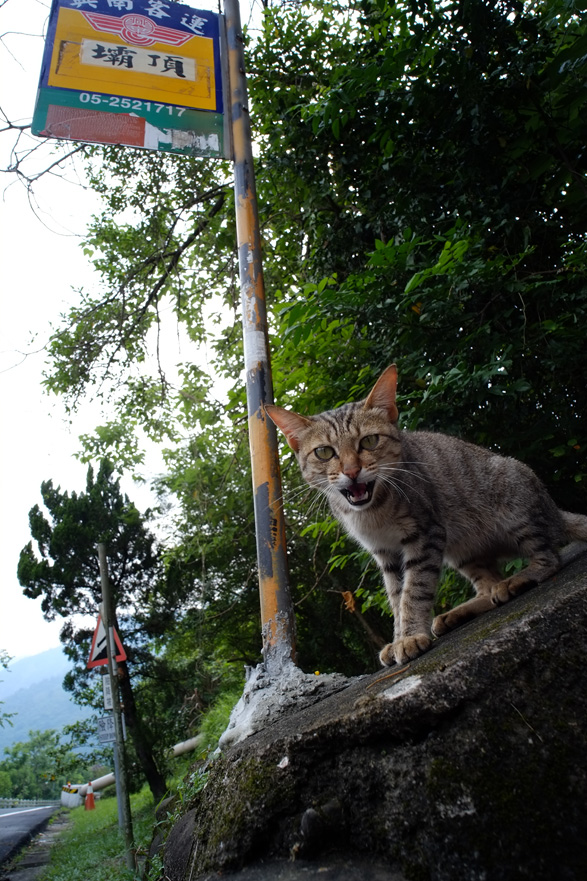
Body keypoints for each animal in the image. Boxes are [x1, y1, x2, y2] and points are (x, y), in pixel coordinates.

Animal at [268, 366, 587, 668]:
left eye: (369, 441)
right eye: (324, 452)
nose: (351, 471)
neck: (372, 515)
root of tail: (555, 511)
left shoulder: (424, 534)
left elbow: (414, 591)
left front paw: (409, 638)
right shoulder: (385, 553)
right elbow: (396, 598)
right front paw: (400, 637)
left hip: (515, 503)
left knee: (548, 558)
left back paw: (516, 580)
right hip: (463, 552)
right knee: (487, 586)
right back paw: (459, 612)